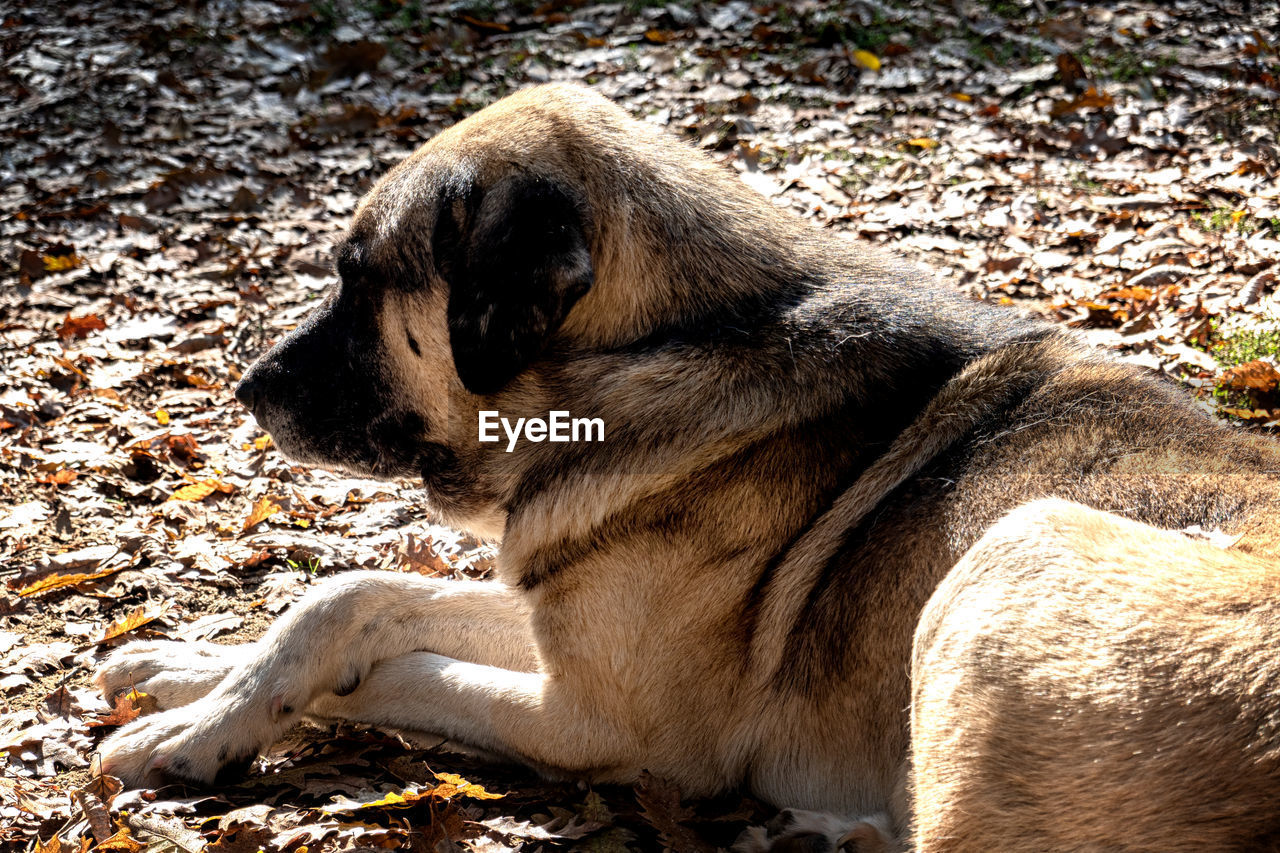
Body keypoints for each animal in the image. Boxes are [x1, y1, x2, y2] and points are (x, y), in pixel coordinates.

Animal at [94, 81, 1280, 850]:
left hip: (1015, 538)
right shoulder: (557, 614)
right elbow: (347, 598)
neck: (656, 345)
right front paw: (190, 677)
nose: (246, 388)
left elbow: (396, 671)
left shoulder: (595, 721)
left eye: (360, 277)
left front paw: (193, 729)